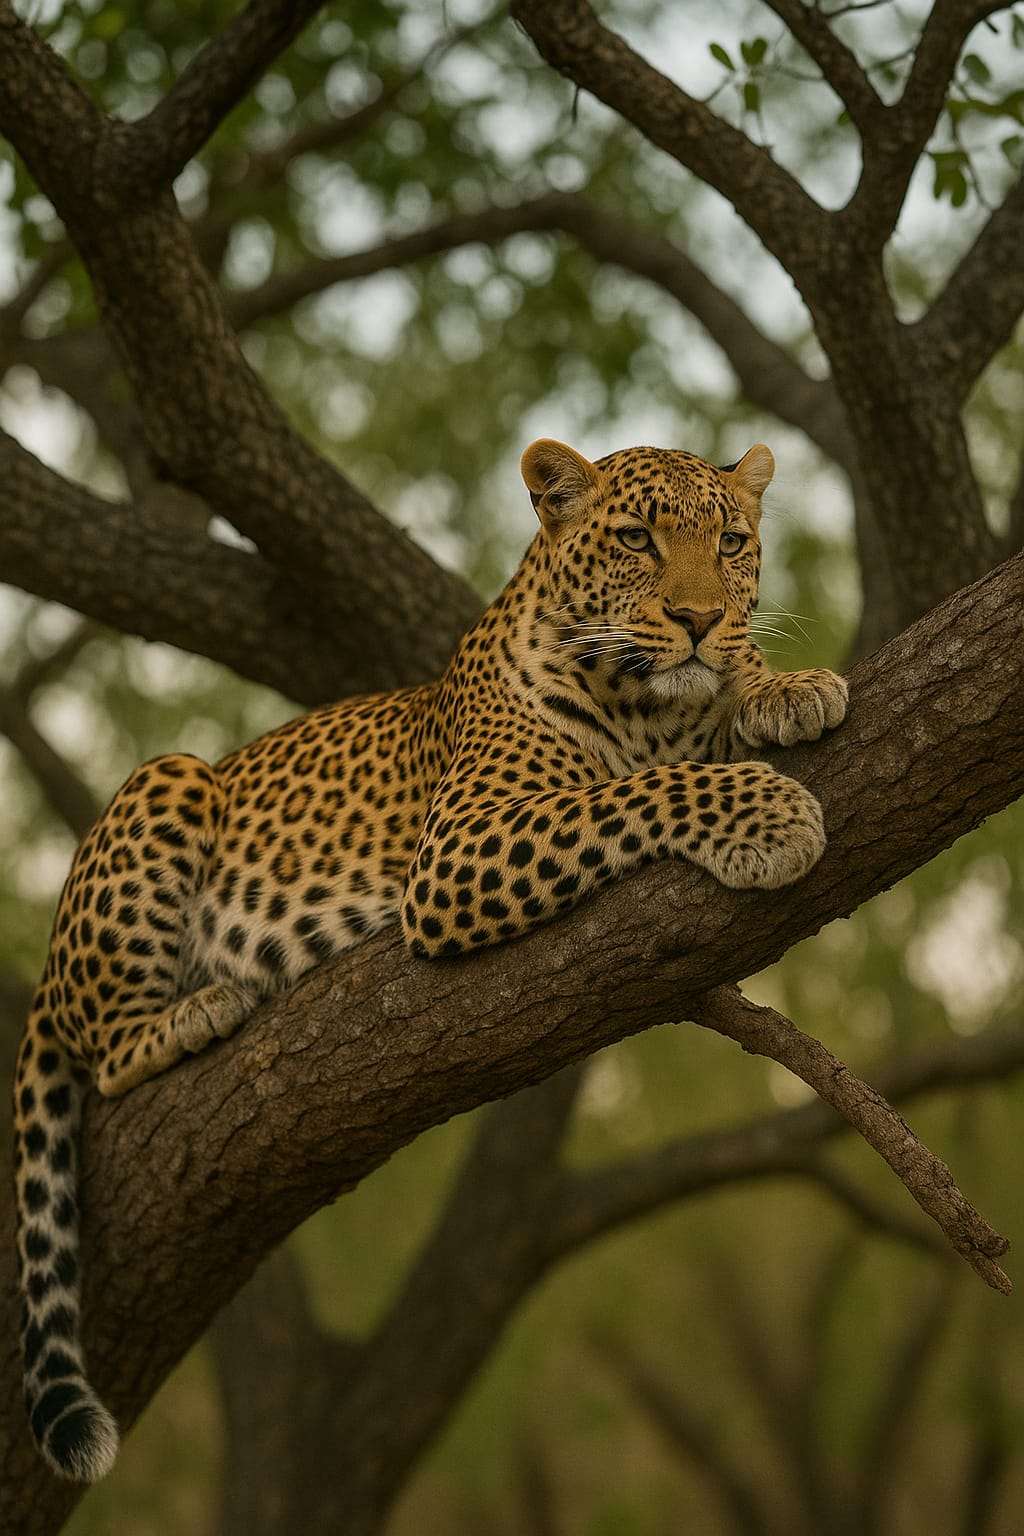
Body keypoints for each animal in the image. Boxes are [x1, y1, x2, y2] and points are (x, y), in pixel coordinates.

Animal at [12, 437, 847, 1483]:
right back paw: (197, 1009)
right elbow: (635, 790)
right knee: (104, 1049)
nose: (699, 618)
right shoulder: (460, 846)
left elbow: (715, 706)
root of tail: (46, 972)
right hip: (169, 782)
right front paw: (766, 813)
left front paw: (787, 687)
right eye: (636, 539)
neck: (648, 708)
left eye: (732, 542)